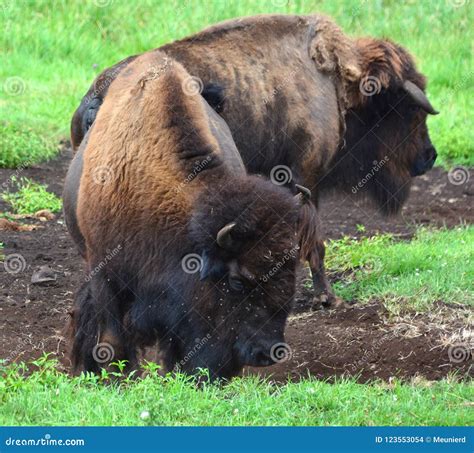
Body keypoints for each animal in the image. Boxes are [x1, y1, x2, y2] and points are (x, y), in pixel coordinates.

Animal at [69, 13, 436, 308]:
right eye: (407, 111)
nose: (429, 157)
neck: (333, 78)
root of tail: (97, 95)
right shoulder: (305, 176)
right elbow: (314, 238)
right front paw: (326, 297)